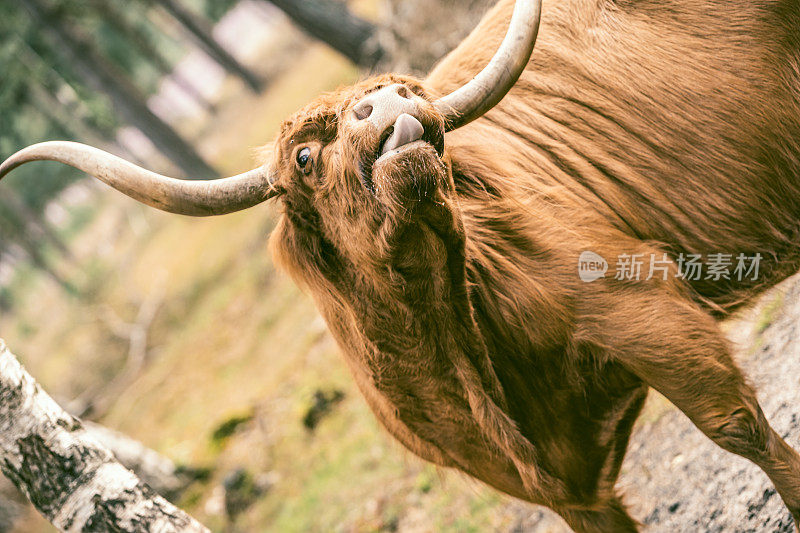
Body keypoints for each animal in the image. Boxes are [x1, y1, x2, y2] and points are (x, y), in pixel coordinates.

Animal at [4, 1, 800, 528]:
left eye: (401, 90)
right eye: (303, 156)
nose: (386, 101)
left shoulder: (651, 317)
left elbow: (739, 427)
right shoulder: (560, 485)